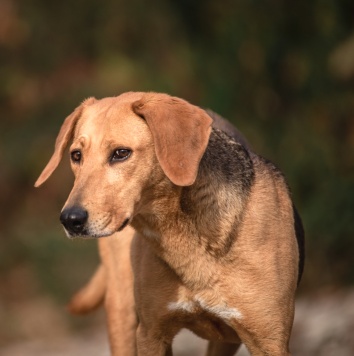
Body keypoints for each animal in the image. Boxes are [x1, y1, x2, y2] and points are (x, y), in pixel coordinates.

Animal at [36, 92, 304, 356]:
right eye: (76, 156)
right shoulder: (151, 334)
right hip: (122, 313)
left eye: (121, 153)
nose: (70, 219)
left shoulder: (269, 341)